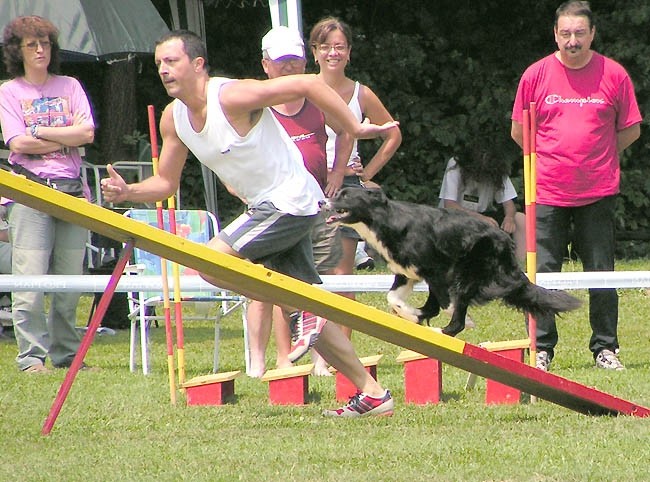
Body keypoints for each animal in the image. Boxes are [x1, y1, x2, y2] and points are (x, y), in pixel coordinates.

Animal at [326, 186, 580, 338]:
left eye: (344, 195)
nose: (322, 203)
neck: (384, 221)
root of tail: (504, 239)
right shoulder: (406, 272)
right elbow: (393, 298)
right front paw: (410, 314)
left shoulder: (438, 271)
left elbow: (448, 303)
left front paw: (464, 320)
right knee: (431, 306)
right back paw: (421, 318)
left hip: (468, 271)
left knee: (452, 306)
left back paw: (443, 330)